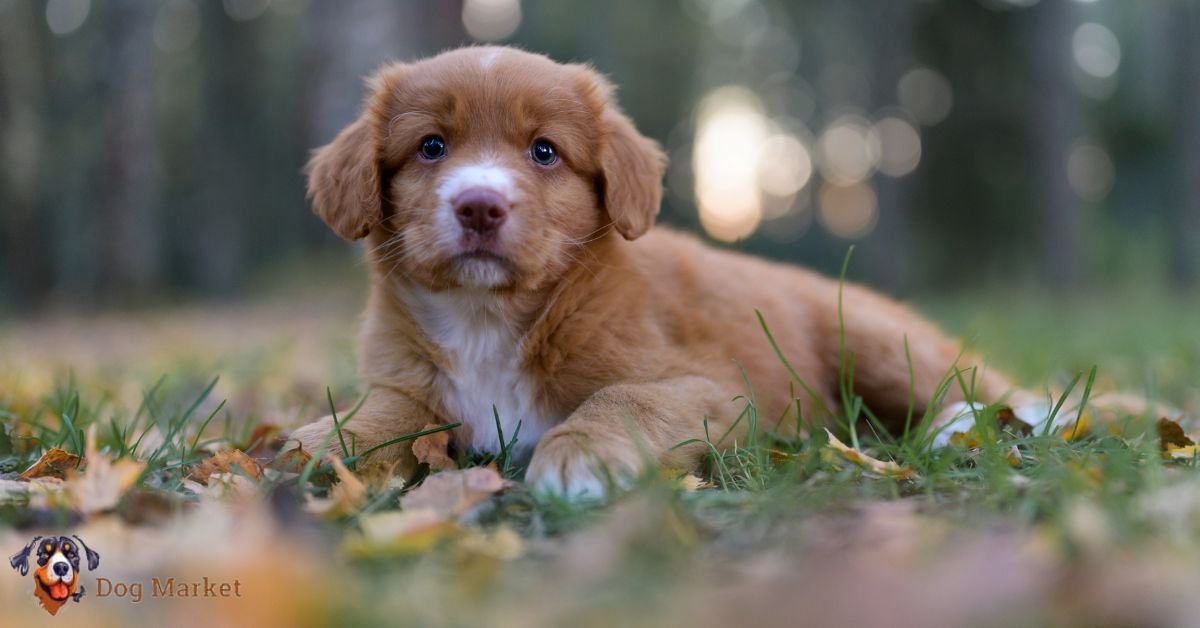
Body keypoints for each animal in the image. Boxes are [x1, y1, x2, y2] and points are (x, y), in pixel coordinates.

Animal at [292, 46, 1123, 499]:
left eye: (544, 151)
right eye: (430, 147)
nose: (479, 206)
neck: (488, 318)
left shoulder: (709, 385)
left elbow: (622, 398)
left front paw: (580, 457)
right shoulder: (410, 379)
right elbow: (381, 413)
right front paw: (313, 445)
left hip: (877, 340)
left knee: (987, 387)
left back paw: (978, 425)